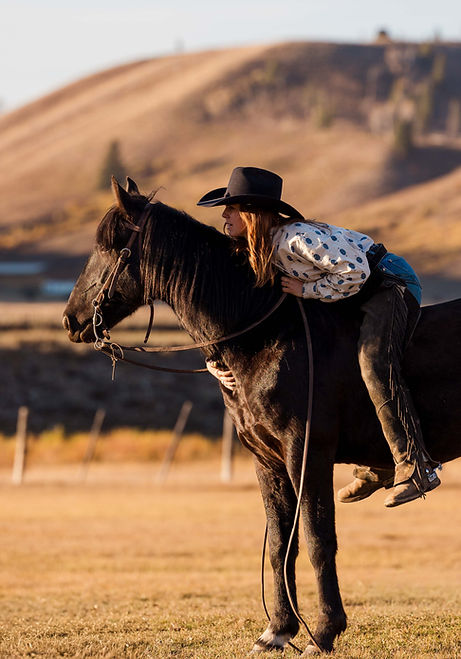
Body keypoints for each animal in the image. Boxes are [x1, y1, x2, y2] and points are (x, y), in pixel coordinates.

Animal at [63, 177, 461, 655]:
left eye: (111, 247)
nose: (71, 319)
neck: (264, 338)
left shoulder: (305, 453)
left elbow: (316, 538)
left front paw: (323, 632)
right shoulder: (266, 459)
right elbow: (279, 545)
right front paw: (278, 631)